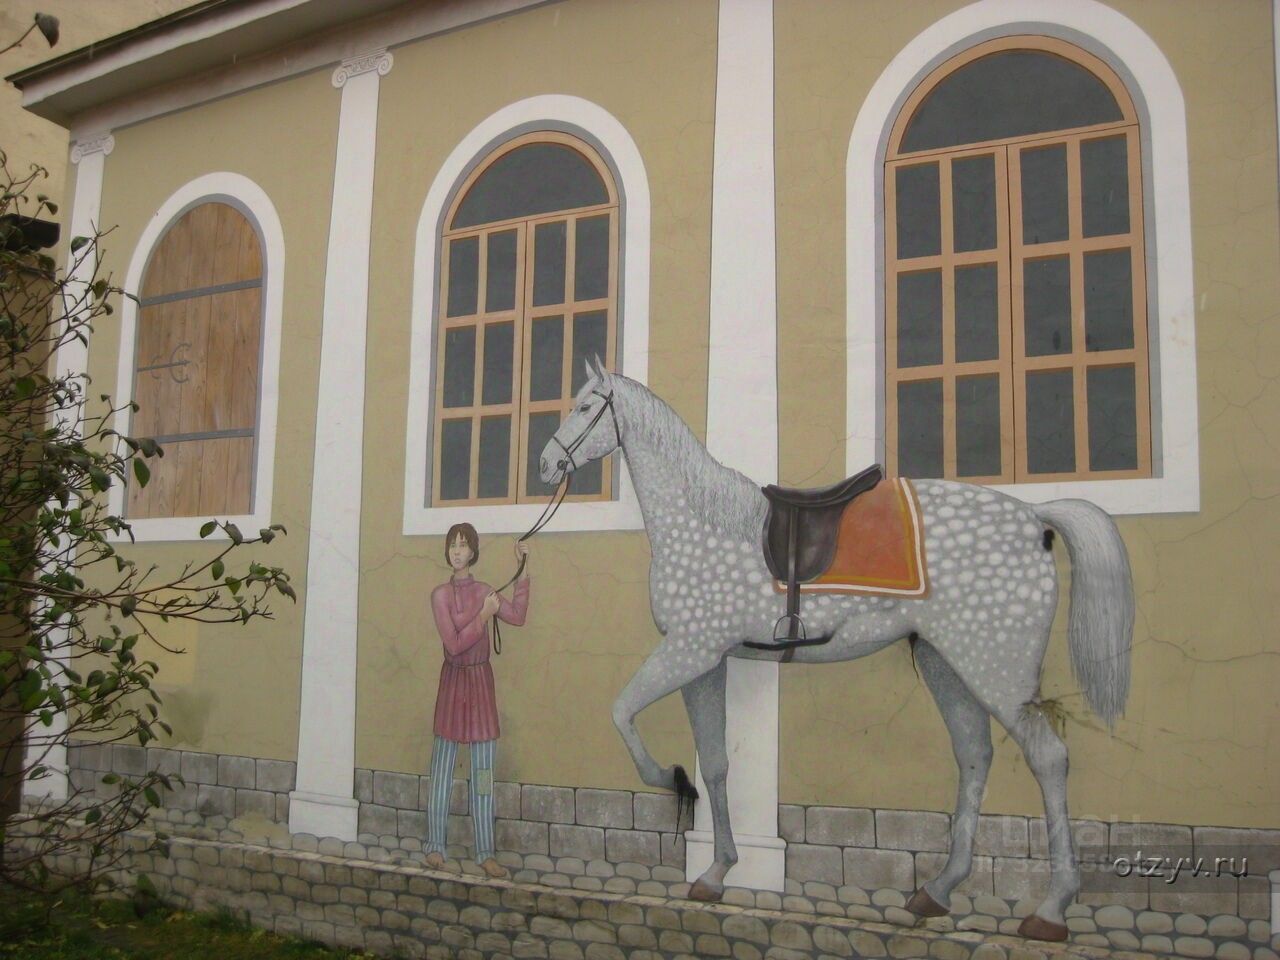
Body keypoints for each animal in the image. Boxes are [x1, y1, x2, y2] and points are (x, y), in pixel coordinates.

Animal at [538, 358, 1133, 942]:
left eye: (587, 408)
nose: (546, 464)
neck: (703, 521)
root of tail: (1035, 519)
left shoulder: (688, 652)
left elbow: (622, 714)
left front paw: (671, 782)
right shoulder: (706, 663)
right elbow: (716, 764)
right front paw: (716, 870)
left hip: (997, 669)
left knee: (1048, 757)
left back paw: (1051, 909)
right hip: (946, 662)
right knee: (973, 755)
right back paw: (937, 890)